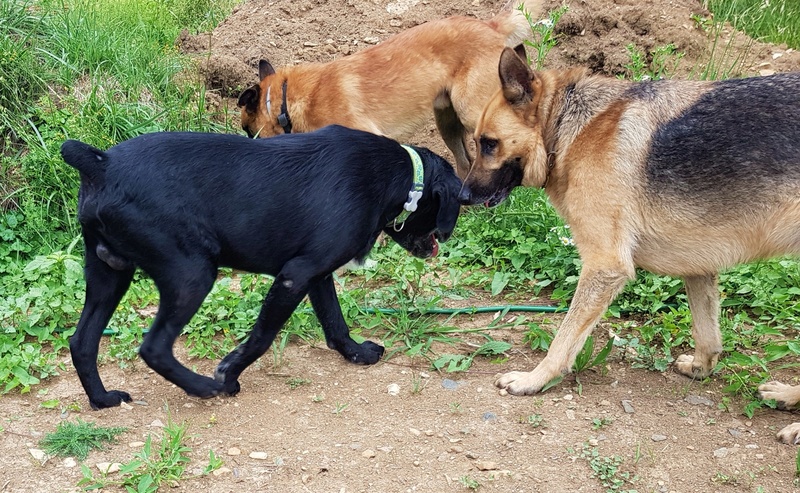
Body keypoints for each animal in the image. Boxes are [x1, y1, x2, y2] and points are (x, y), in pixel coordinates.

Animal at [62, 125, 462, 410]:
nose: (444, 238)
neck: (400, 175)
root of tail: (101, 164)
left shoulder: (316, 274)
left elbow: (336, 324)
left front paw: (357, 354)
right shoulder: (294, 277)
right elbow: (261, 338)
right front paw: (228, 372)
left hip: (109, 274)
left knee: (82, 342)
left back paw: (102, 399)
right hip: (191, 274)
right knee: (154, 347)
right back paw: (204, 387)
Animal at [234, 4, 540, 177]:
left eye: (248, 131)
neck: (287, 102)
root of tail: (488, 26)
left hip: (473, 114)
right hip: (448, 122)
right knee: (465, 164)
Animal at [460, 48, 800, 444]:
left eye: (489, 143)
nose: (462, 197)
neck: (565, 124)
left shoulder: (604, 266)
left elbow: (564, 339)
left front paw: (535, 379)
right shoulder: (698, 268)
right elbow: (707, 333)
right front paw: (701, 367)